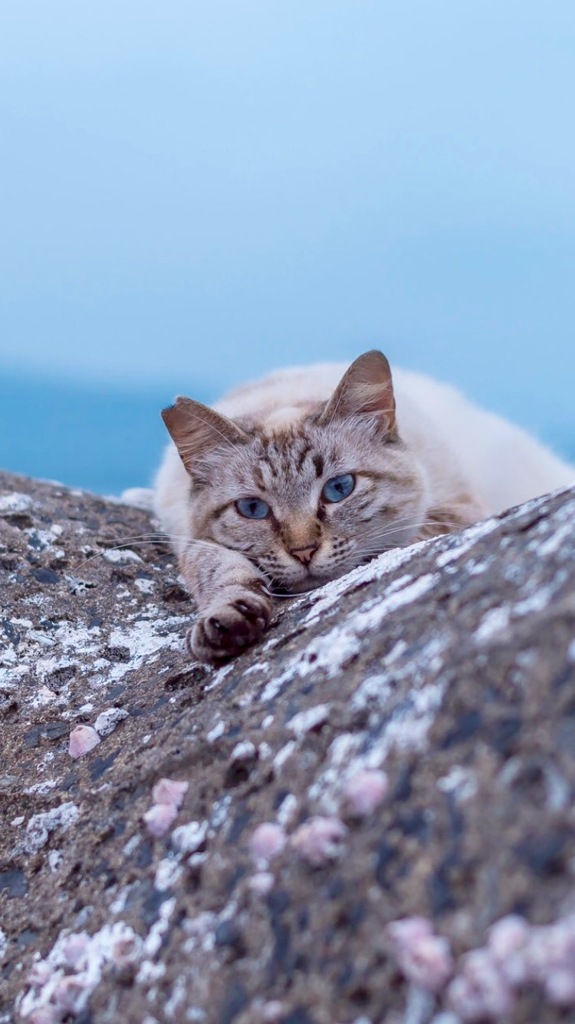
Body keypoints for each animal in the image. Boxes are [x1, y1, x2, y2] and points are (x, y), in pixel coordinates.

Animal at [153, 350, 572, 663]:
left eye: (339, 489)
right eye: (253, 509)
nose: (304, 552)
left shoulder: (455, 510)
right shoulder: (190, 538)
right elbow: (222, 571)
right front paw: (228, 622)